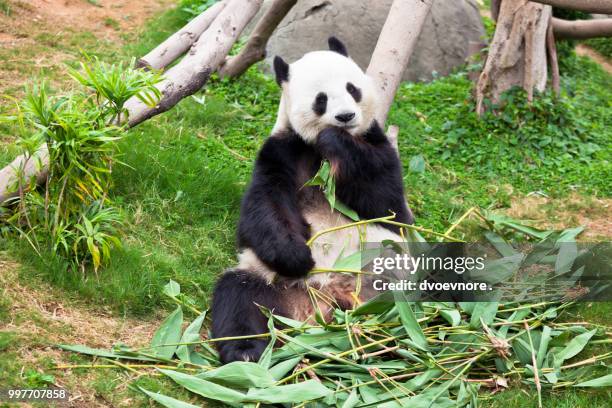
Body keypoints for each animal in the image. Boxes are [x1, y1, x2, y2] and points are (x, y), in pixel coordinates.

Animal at [212, 37, 416, 364]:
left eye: (352, 89)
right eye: (321, 100)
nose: (345, 117)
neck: (318, 151)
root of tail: (326, 304)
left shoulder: (376, 144)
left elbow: (384, 199)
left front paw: (337, 140)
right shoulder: (282, 150)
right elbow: (265, 207)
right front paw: (298, 256)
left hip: (390, 279)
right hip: (270, 282)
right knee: (238, 296)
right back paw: (245, 353)